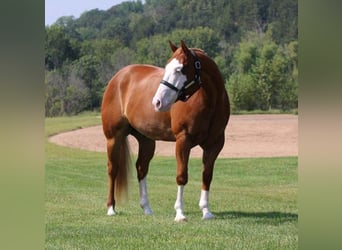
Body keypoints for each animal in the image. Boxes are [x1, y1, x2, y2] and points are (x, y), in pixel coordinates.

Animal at [101, 40, 230, 221]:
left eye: (179, 69)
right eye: (167, 67)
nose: (157, 102)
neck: (209, 101)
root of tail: (118, 77)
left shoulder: (215, 144)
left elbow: (207, 176)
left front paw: (206, 211)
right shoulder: (183, 140)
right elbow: (182, 176)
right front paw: (180, 213)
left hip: (146, 140)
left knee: (141, 168)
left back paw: (147, 208)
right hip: (113, 137)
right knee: (113, 169)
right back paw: (111, 208)